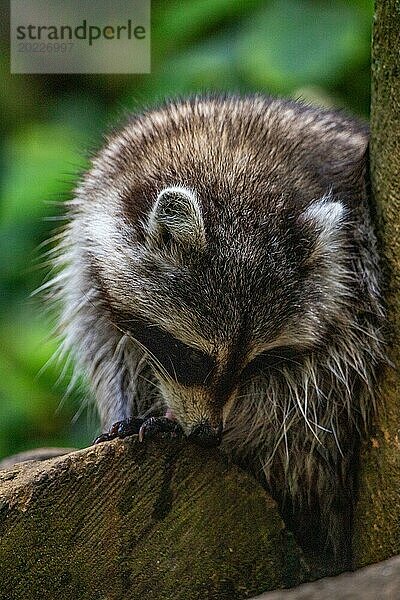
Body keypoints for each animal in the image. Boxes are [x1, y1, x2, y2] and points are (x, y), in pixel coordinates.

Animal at [48, 95, 386, 564]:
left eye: (257, 361)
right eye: (195, 356)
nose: (208, 435)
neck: (237, 160)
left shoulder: (355, 281)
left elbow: (310, 401)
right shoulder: (89, 231)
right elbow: (104, 343)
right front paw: (126, 407)